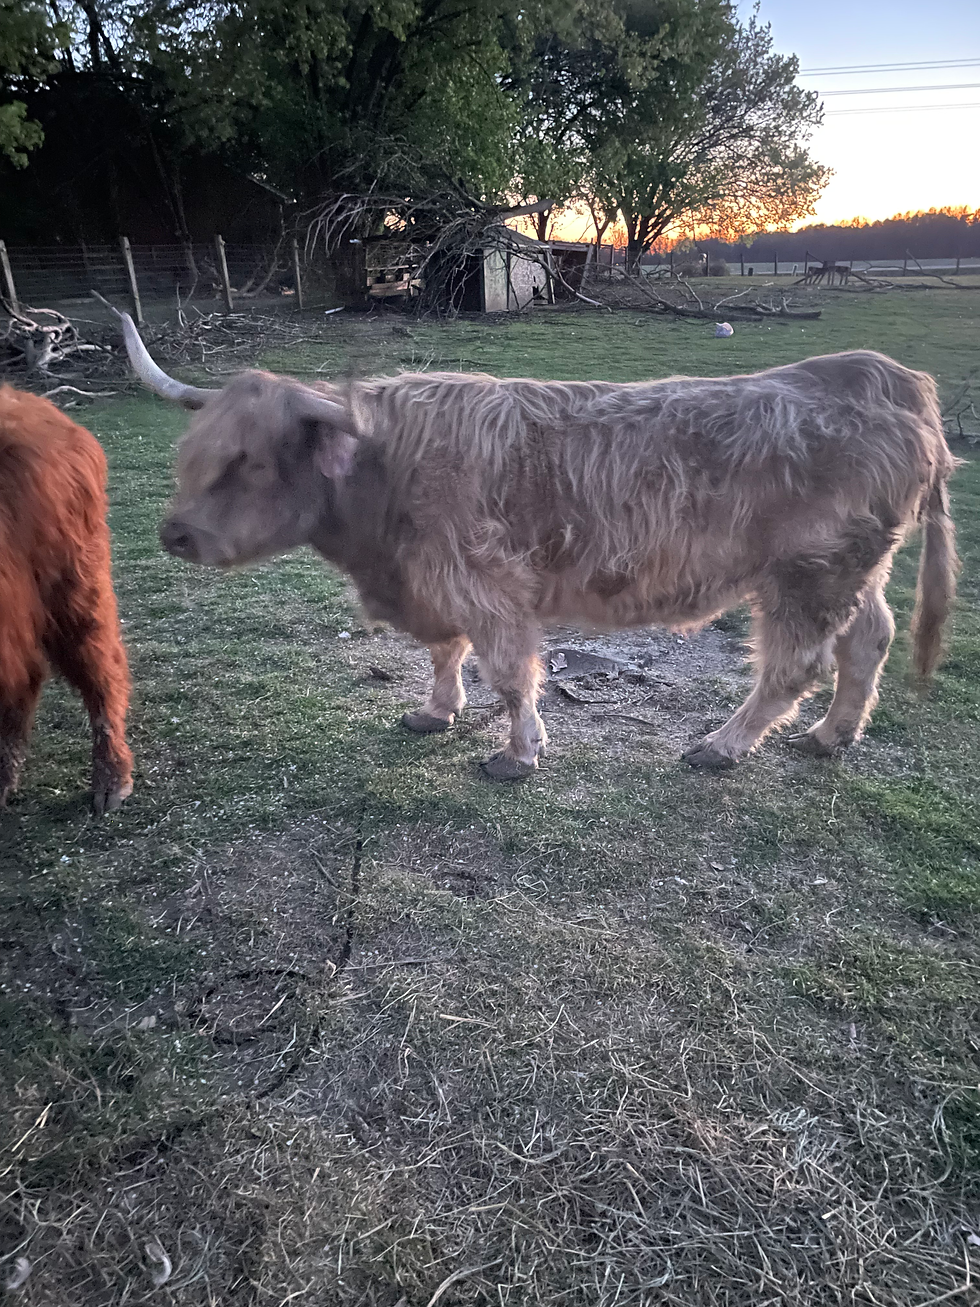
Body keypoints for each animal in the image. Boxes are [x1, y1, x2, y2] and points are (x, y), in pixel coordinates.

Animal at [112, 307, 958, 782]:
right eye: (194, 450)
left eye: (251, 462)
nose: (173, 532)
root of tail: (884, 375)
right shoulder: (435, 583)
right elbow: (445, 654)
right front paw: (437, 711)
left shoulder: (489, 588)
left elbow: (512, 673)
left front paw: (518, 755)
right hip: (853, 569)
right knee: (870, 638)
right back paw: (832, 736)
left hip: (808, 575)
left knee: (795, 665)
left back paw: (724, 744)